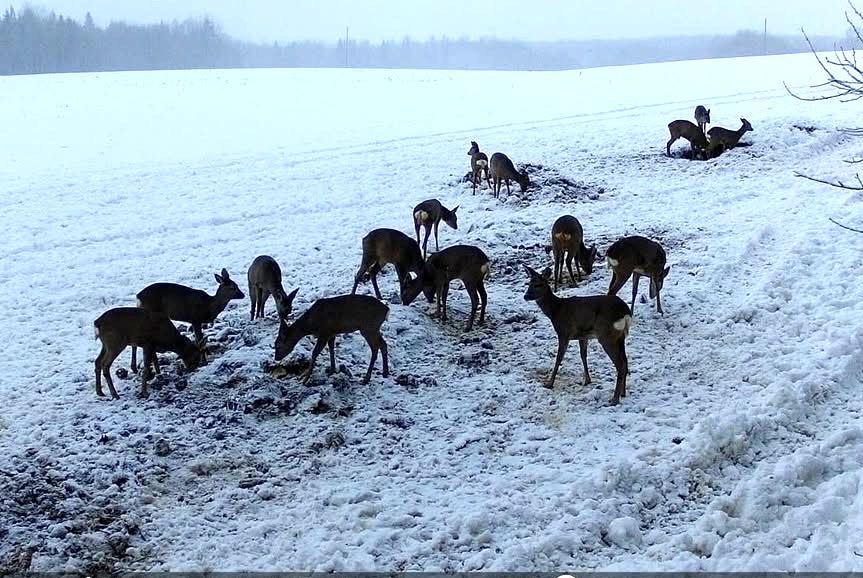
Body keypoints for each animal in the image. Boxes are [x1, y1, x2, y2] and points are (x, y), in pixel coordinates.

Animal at [520, 264, 636, 402]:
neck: (555, 310)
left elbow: (559, 358)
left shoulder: (563, 332)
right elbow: (583, 356)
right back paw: (623, 393)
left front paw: (549, 383)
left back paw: (614, 399)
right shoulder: (583, 335)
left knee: (620, 364)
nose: (526, 296)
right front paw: (587, 380)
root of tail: (625, 312)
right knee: (625, 361)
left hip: (606, 335)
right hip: (620, 336)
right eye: (529, 283)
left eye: (538, 284)